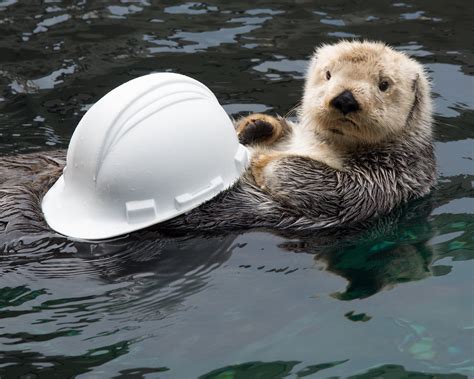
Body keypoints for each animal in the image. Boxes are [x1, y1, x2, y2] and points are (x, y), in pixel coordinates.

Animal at [0, 39, 436, 240]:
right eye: (328, 74)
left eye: (383, 84)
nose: (344, 99)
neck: (324, 145)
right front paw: (256, 127)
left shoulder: (392, 177)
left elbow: (340, 187)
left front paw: (272, 167)